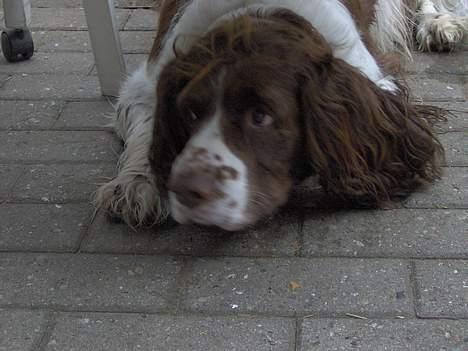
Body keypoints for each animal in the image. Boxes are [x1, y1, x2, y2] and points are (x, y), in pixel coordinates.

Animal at [93, 0, 466, 231]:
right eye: (191, 112)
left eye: (261, 116)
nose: (189, 188)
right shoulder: (152, 75)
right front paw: (137, 183)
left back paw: (439, 23)